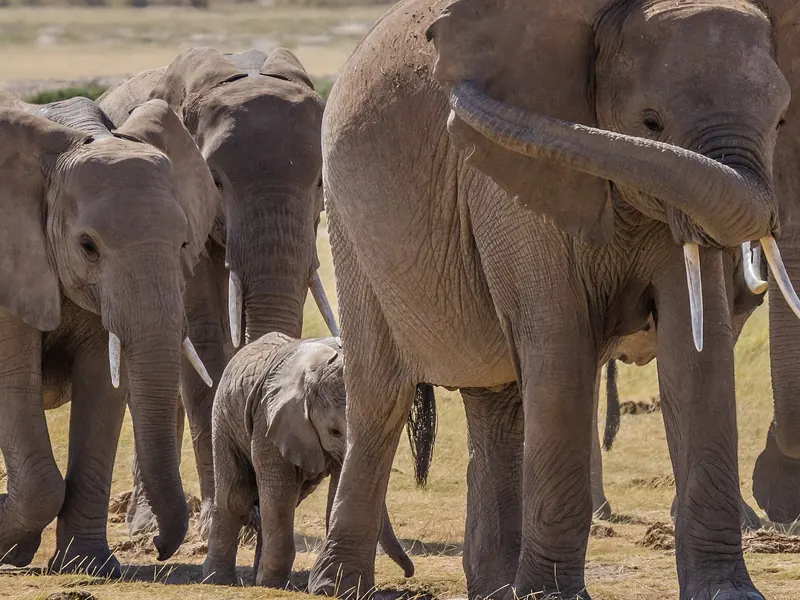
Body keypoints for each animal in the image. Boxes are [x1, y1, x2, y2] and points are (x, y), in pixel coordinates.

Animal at [0, 91, 217, 575]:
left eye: (184, 244)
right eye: (88, 246)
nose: (157, 545)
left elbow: (104, 385)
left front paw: (89, 566)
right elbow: (12, 383)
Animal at [202, 332, 414, 588]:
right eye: (334, 431)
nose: (408, 573)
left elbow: (334, 490)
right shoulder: (268, 419)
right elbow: (278, 493)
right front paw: (272, 585)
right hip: (224, 416)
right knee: (237, 496)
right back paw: (218, 580)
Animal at [306, 1, 800, 599]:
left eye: (780, 121)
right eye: (651, 122)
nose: (453, 94)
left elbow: (695, 352)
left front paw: (729, 592)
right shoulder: (507, 183)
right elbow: (560, 342)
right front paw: (552, 596)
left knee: (498, 401)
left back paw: (497, 589)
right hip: (349, 224)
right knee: (382, 397)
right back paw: (337, 585)